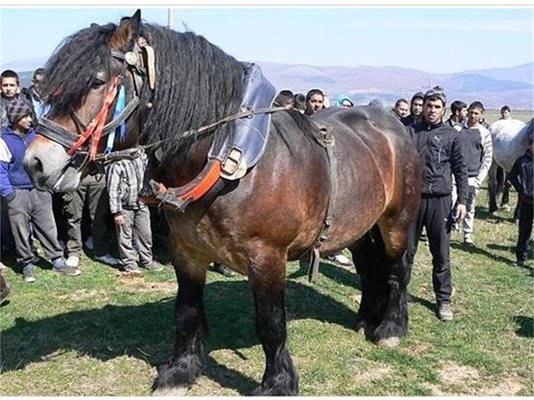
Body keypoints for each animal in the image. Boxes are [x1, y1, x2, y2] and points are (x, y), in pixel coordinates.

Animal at [24, 10, 422, 396]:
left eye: (96, 81)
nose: (34, 163)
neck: (224, 161)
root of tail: (391, 121)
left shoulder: (268, 257)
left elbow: (271, 323)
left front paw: (277, 382)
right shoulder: (187, 251)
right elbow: (186, 313)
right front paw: (181, 372)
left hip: (397, 220)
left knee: (397, 269)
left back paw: (390, 327)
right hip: (359, 225)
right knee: (369, 268)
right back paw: (365, 319)